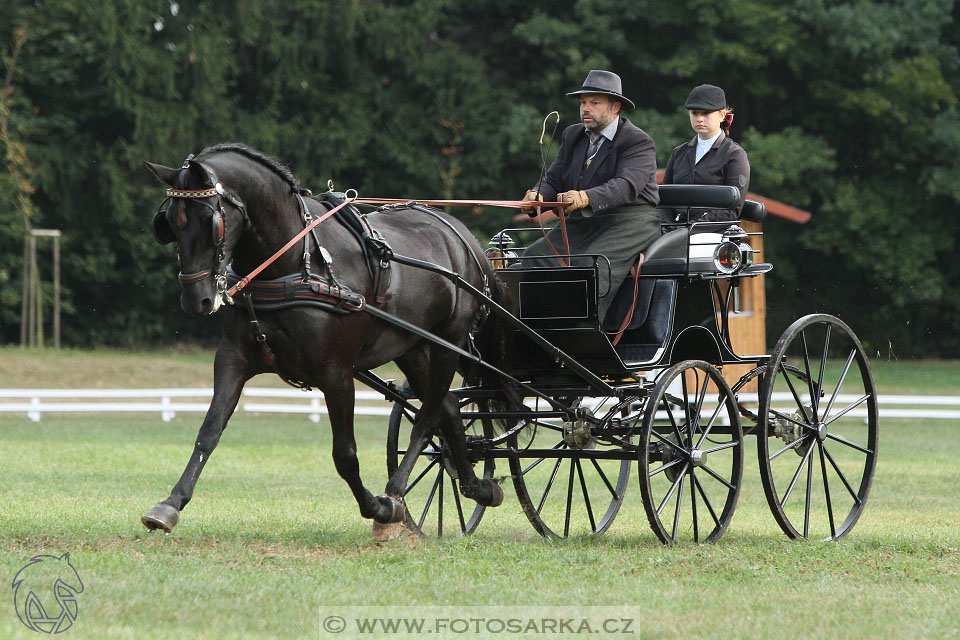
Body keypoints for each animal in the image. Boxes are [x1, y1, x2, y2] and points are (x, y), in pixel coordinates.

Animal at [142, 142, 506, 536]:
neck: (293, 263)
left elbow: (345, 454)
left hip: (446, 344)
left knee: (427, 418)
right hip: (412, 348)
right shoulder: (234, 357)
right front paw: (169, 504)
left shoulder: (336, 372)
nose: (196, 300)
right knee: (448, 408)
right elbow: (209, 430)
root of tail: (463, 238)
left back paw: (396, 492)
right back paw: (476, 486)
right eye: (169, 223)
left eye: (213, 221)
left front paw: (378, 507)